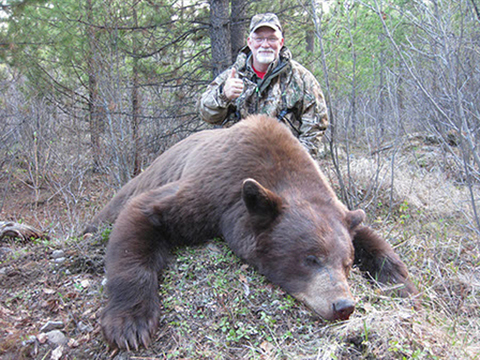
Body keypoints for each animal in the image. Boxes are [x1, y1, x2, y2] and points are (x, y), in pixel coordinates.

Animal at [88, 114, 418, 348]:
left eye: (347, 264)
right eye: (310, 258)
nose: (343, 305)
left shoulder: (338, 211)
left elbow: (365, 232)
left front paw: (401, 282)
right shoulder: (212, 192)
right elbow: (142, 214)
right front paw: (130, 324)